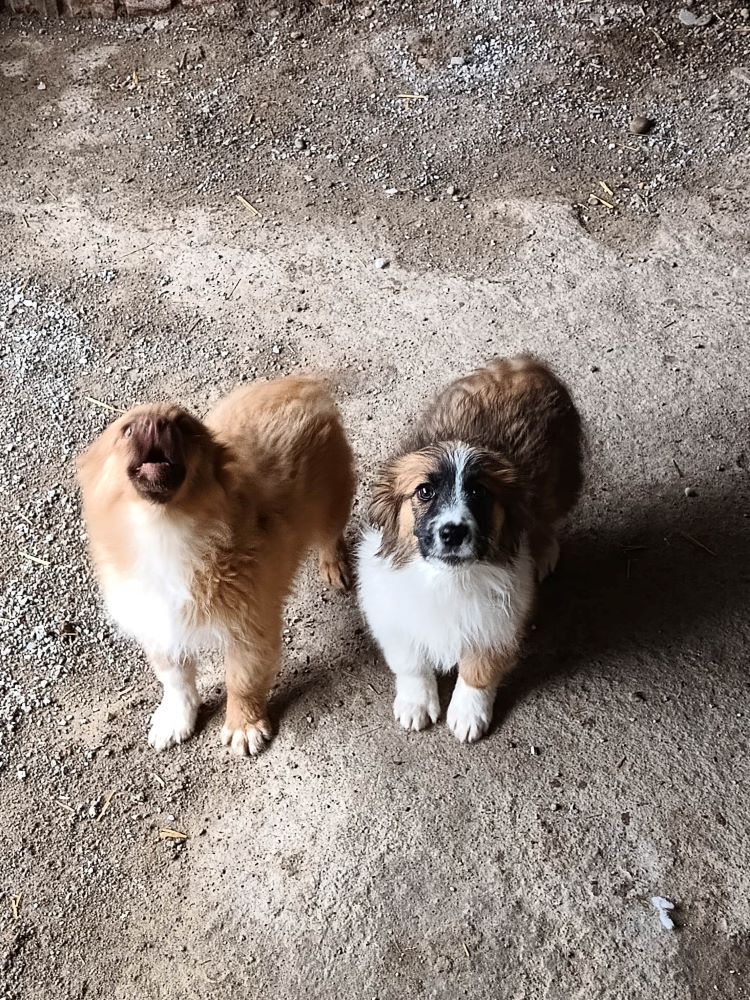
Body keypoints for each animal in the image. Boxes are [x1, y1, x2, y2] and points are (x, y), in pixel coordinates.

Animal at [79, 378, 356, 752]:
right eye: (127, 431)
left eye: (182, 425)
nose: (155, 423)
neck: (165, 530)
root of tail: (300, 384)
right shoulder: (158, 623)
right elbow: (175, 680)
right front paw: (176, 719)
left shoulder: (250, 627)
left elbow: (243, 681)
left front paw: (244, 725)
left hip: (332, 501)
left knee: (330, 535)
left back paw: (334, 565)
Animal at [360, 358, 588, 744]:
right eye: (424, 491)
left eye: (479, 492)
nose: (453, 532)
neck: (446, 580)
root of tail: (526, 365)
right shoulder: (394, 617)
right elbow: (411, 662)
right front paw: (416, 702)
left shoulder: (498, 623)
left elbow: (479, 670)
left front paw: (468, 713)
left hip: (560, 481)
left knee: (545, 520)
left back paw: (545, 552)